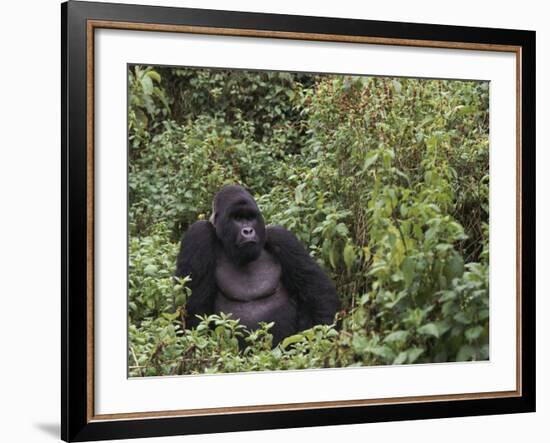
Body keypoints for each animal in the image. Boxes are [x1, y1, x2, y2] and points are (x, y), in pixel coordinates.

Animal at [176, 185, 340, 346]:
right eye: (237, 218)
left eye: (250, 218)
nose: (248, 230)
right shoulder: (198, 234)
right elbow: (193, 310)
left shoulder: (282, 237)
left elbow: (318, 294)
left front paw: (324, 341)